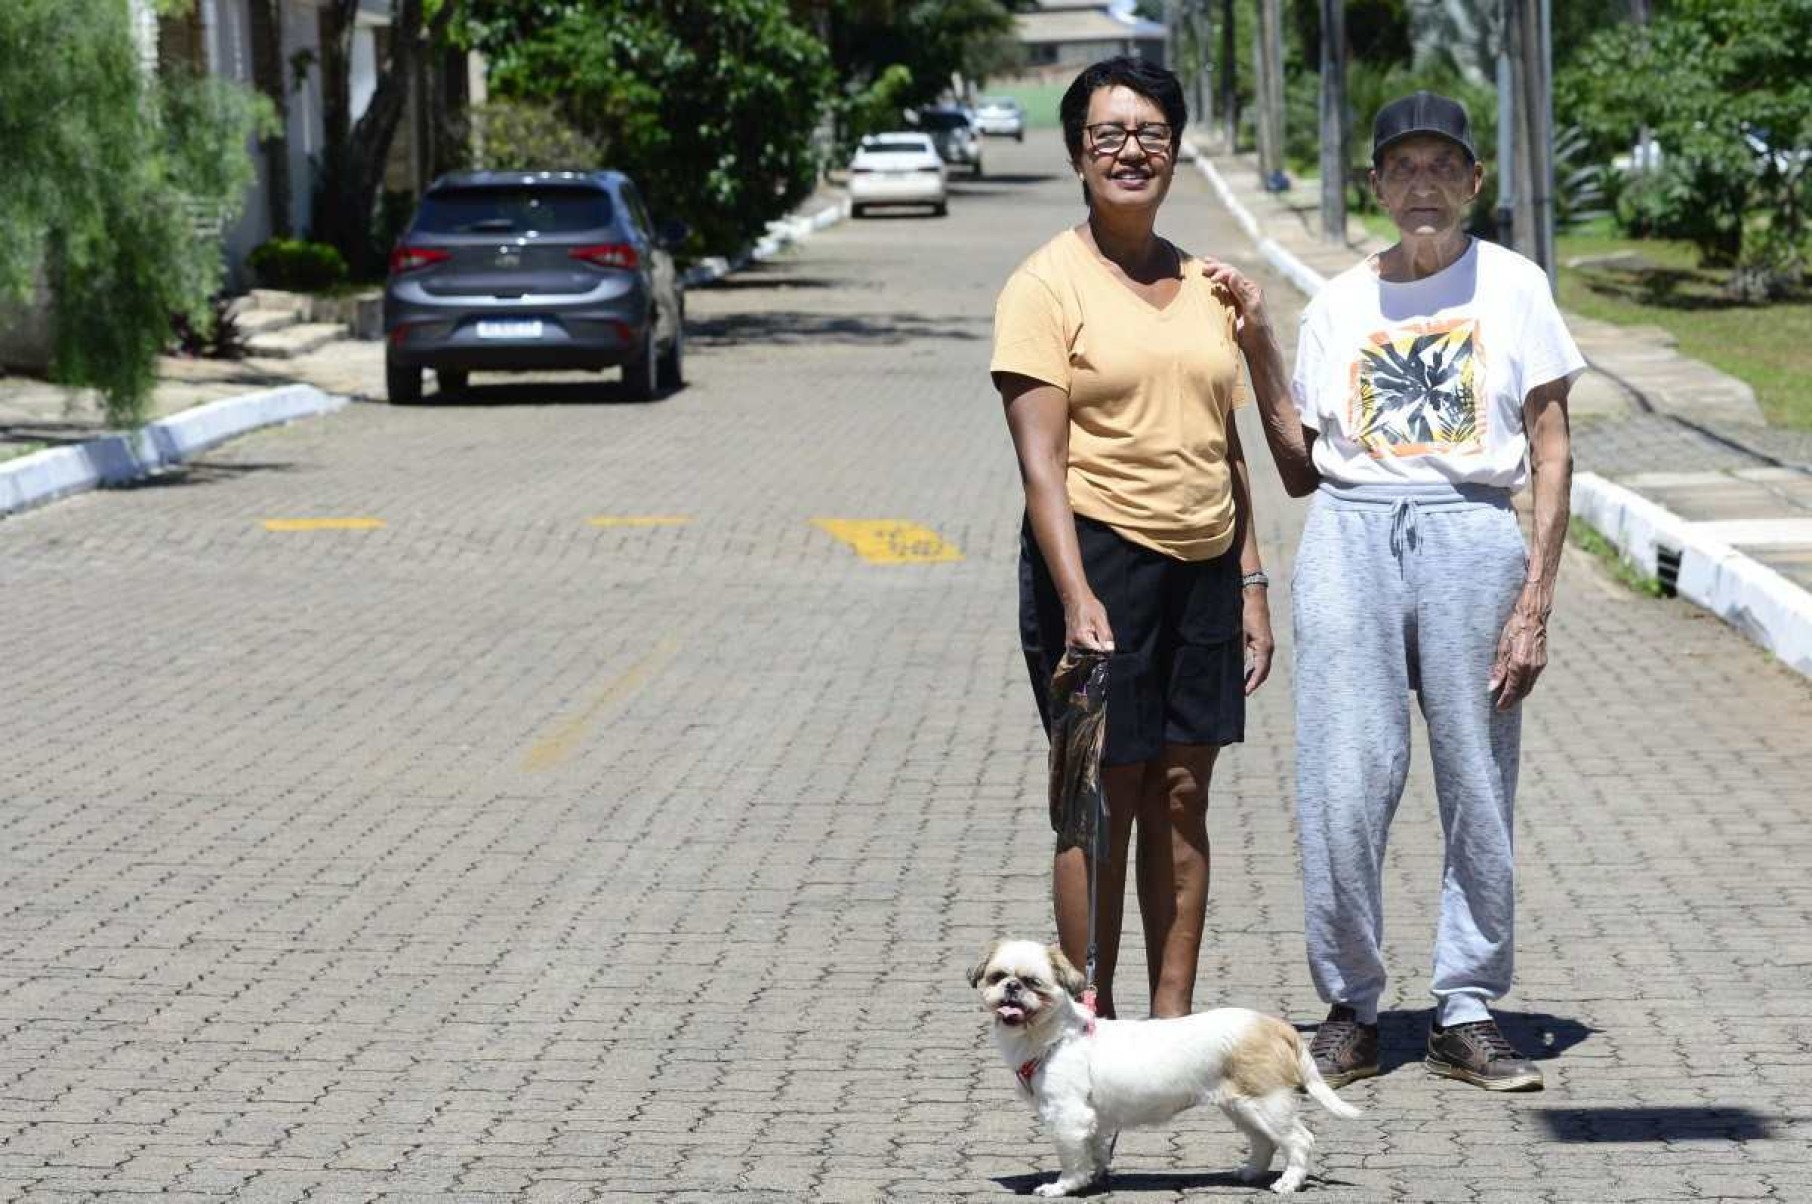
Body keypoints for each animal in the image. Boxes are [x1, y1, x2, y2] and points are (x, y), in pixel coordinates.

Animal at [971, 942, 1355, 1196]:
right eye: (997, 976)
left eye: (1033, 982)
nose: (1012, 986)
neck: (1055, 1038)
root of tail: (1274, 1025)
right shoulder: (1090, 1120)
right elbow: (1094, 1150)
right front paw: (1095, 1175)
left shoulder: (1068, 1117)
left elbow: (1072, 1159)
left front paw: (1062, 1186)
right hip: (1241, 1105)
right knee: (1264, 1142)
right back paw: (1249, 1173)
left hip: (1267, 1103)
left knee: (1300, 1140)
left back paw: (1288, 1182)